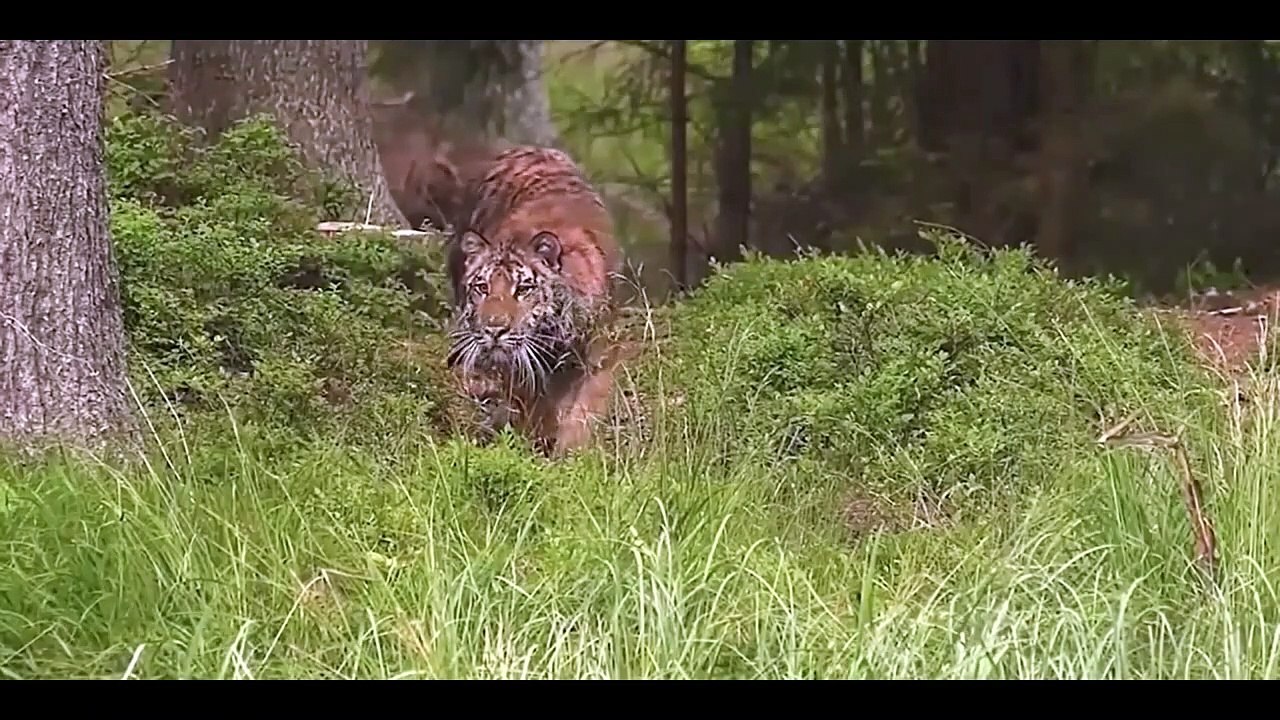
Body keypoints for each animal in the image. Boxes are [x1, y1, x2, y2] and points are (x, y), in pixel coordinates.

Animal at [443, 145, 626, 456]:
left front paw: (572, 453)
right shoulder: (521, 366)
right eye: (482, 287)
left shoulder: (600, 353)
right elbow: (534, 409)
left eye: (523, 288)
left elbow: (585, 409)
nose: (494, 329)